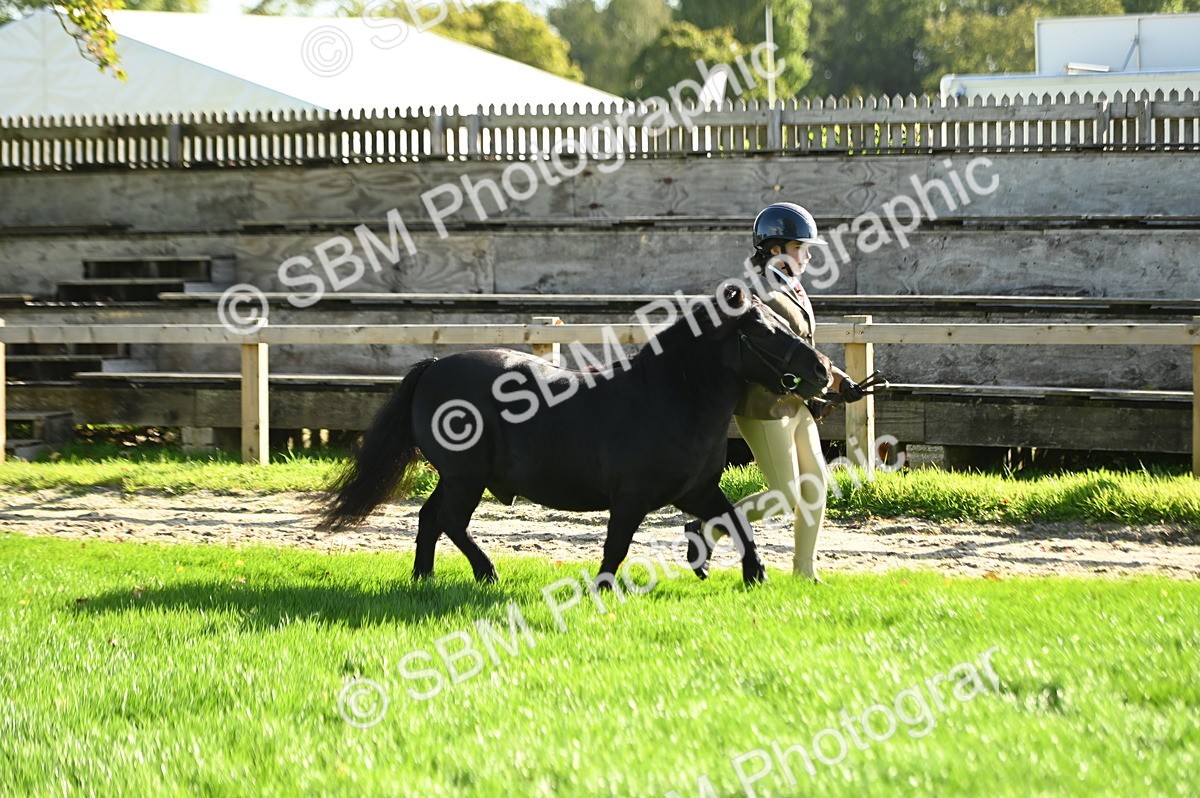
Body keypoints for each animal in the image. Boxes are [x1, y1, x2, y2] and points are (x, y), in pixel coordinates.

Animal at [319, 284, 833, 587]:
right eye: (763, 330)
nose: (822, 371)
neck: (670, 396)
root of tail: (433, 367)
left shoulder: (697, 492)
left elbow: (737, 522)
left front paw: (752, 574)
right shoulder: (631, 496)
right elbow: (617, 546)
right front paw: (602, 589)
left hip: (456, 476)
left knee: (430, 518)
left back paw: (423, 579)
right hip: (466, 477)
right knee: (449, 520)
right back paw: (487, 572)